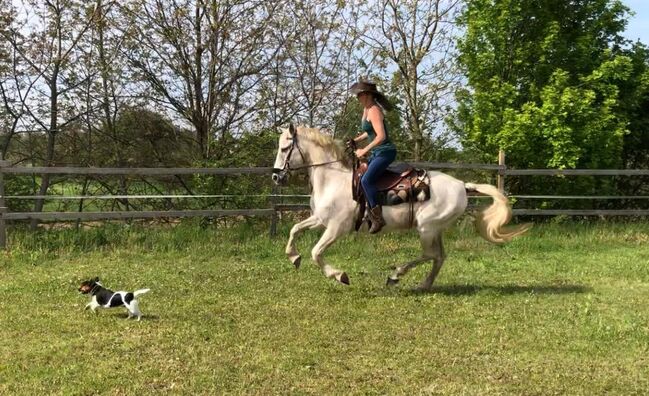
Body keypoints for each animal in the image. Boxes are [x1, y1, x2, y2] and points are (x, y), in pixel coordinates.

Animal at [270, 125, 528, 290]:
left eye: (284, 148)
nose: (275, 177)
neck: (333, 179)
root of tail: (462, 186)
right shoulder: (320, 219)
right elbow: (295, 229)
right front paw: (294, 257)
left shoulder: (336, 228)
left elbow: (316, 252)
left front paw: (340, 275)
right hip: (435, 229)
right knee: (439, 257)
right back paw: (424, 285)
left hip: (426, 228)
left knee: (431, 254)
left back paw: (396, 275)